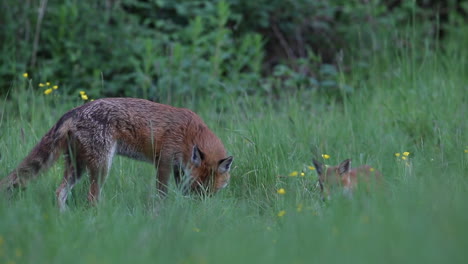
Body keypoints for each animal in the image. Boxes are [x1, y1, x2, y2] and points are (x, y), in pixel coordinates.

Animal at [0, 97, 233, 210]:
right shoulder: (164, 163)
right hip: (102, 166)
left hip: (78, 167)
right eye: (198, 189)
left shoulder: (179, 168)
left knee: (60, 192)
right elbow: (162, 193)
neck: (190, 133)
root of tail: (74, 111)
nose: (200, 208)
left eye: (209, 192)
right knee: (91, 198)